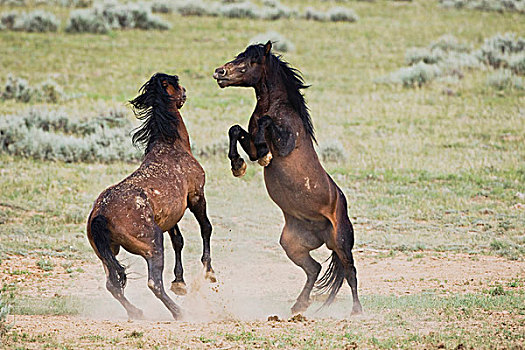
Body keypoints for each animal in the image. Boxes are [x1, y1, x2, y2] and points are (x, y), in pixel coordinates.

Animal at [87, 72, 214, 318]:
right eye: (174, 82)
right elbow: (206, 228)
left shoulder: (171, 215)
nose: (185, 91)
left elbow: (178, 241)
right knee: (153, 283)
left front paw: (180, 283)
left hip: (107, 254)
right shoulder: (196, 197)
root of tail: (100, 215)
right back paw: (179, 312)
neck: (172, 147)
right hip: (153, 246)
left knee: (112, 285)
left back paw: (137, 313)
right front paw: (209, 272)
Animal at [212, 41, 360, 314]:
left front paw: (264, 155)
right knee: (314, 268)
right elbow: (235, 130)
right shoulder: (249, 143)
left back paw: (357, 311)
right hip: (292, 244)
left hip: (341, 243)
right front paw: (238, 165)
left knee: (350, 272)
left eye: (251, 61)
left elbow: (266, 124)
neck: (276, 106)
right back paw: (298, 305)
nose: (220, 72)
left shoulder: (285, 145)